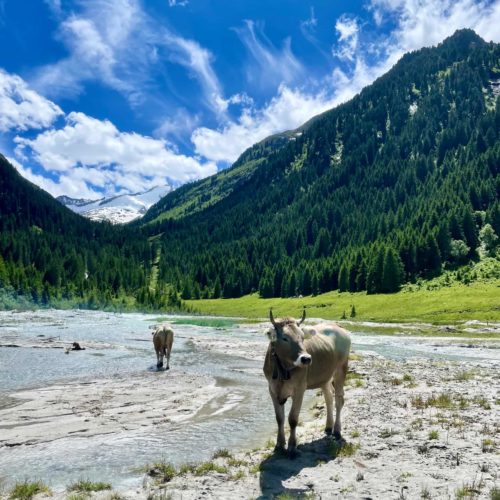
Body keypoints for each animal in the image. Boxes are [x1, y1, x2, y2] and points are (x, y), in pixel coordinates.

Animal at [262, 308, 352, 458]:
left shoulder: (300, 389)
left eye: (302, 337)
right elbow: (279, 418)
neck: (282, 370)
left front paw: (292, 447)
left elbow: (293, 419)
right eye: (285, 338)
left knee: (339, 400)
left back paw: (337, 431)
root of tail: (337, 326)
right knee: (328, 398)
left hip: (341, 369)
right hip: (325, 376)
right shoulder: (272, 389)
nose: (306, 359)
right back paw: (328, 427)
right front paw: (279, 445)